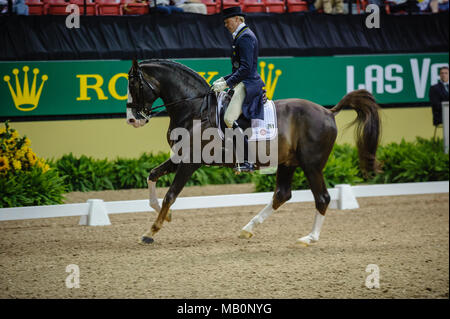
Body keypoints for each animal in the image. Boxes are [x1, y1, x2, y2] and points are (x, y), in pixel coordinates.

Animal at [125, 58, 380, 246]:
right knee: (282, 194)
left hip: (312, 165)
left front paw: (151, 231)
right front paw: (165, 215)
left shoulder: (191, 162)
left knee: (322, 198)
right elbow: (152, 175)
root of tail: (328, 112)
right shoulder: (179, 157)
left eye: (134, 85)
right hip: (288, 163)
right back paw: (247, 229)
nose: (132, 119)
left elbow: (171, 194)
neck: (195, 109)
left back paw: (309, 238)